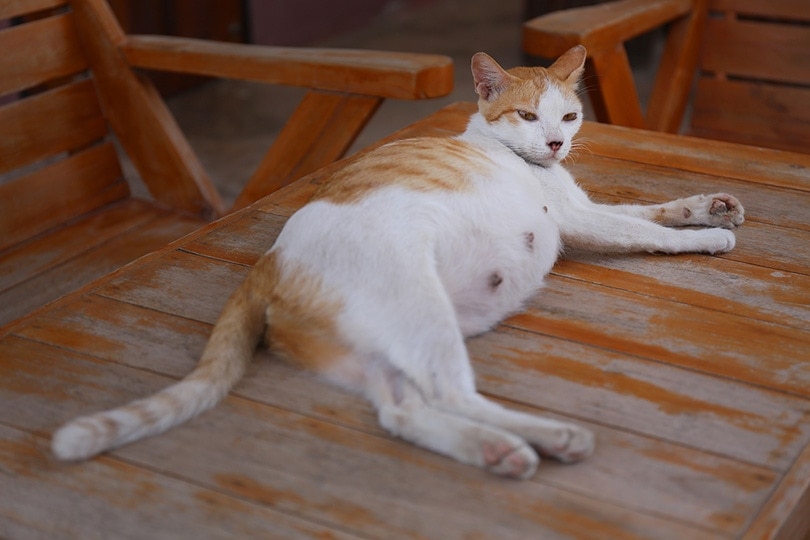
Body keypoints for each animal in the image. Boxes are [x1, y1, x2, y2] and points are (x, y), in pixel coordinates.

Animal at [50, 45, 740, 476]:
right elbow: (644, 230)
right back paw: (548, 437)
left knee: (403, 412)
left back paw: (496, 451)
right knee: (450, 393)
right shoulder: (575, 219)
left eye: (568, 116)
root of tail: (267, 263)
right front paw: (707, 239)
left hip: (378, 349)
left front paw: (711, 206)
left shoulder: (582, 206)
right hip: (423, 308)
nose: (555, 143)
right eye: (526, 115)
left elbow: (653, 209)